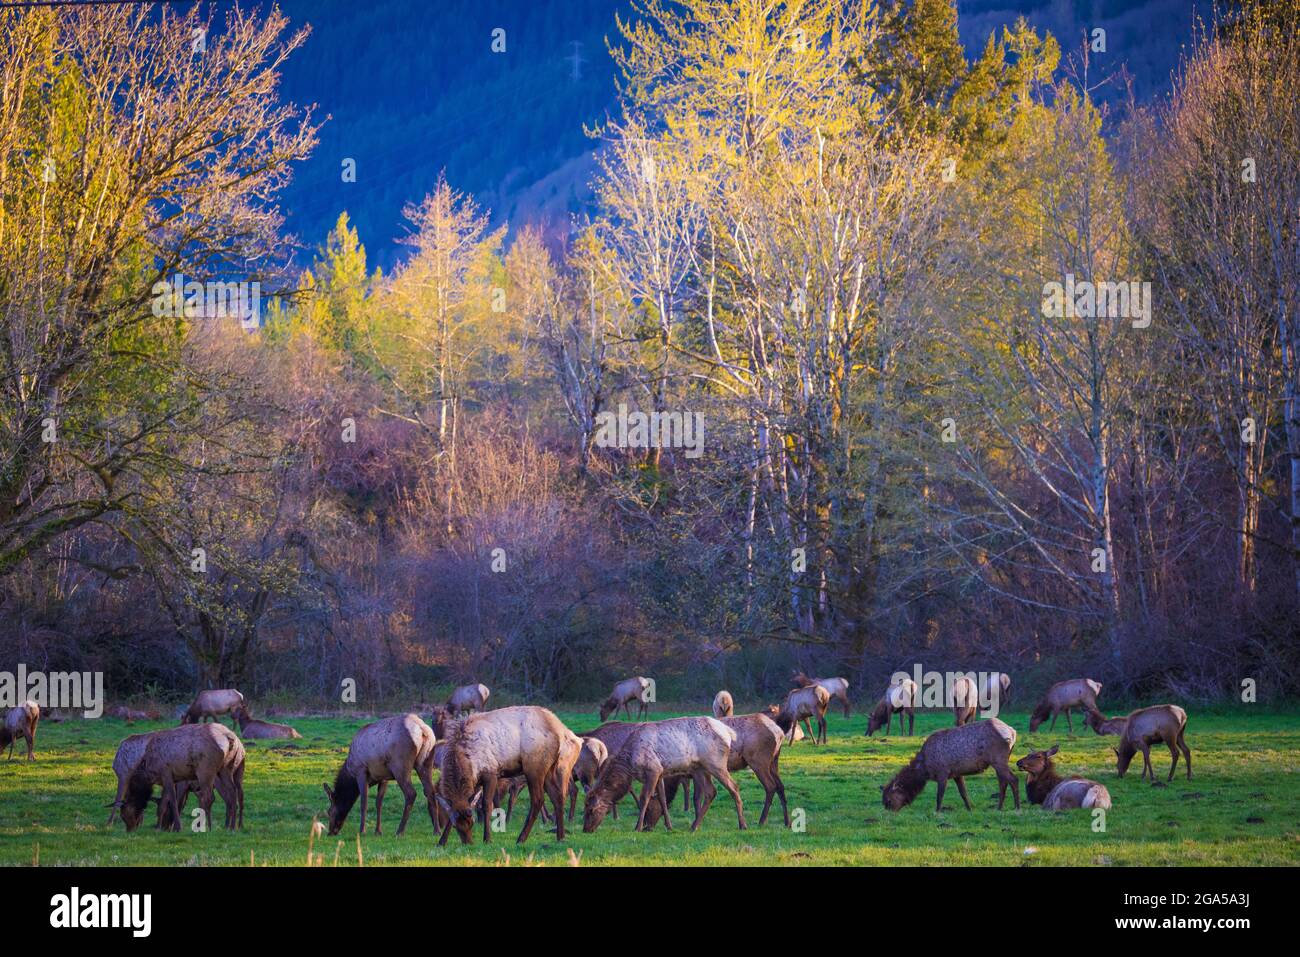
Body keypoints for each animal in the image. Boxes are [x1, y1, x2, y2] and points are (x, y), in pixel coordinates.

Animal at [436, 702, 574, 842]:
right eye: (456, 826)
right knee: (557, 796)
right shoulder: (475, 780)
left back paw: (521, 838)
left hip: (534, 767)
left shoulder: (490, 773)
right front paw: (441, 841)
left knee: (538, 800)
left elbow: (487, 804)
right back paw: (560, 837)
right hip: (549, 768)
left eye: (471, 822)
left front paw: (487, 838)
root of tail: (560, 730)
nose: (468, 842)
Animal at [585, 712, 748, 832]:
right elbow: (662, 799)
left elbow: (644, 798)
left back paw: (742, 825)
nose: (585, 829)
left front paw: (637, 827)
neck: (630, 765)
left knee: (734, 787)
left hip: (715, 763)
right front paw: (669, 826)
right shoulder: (660, 773)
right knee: (711, 792)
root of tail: (729, 733)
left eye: (591, 810)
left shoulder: (653, 769)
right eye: (585, 808)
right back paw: (694, 826)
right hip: (700, 768)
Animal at [878, 712, 1019, 811]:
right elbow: (963, 793)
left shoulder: (943, 772)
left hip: (998, 759)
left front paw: (937, 811)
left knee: (1013, 779)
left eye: (889, 800)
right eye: (884, 801)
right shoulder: (957, 774)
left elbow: (940, 795)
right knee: (1003, 782)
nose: (889, 813)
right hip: (1000, 761)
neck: (925, 769)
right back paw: (999, 807)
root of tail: (1012, 731)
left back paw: (1017, 807)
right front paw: (970, 809)